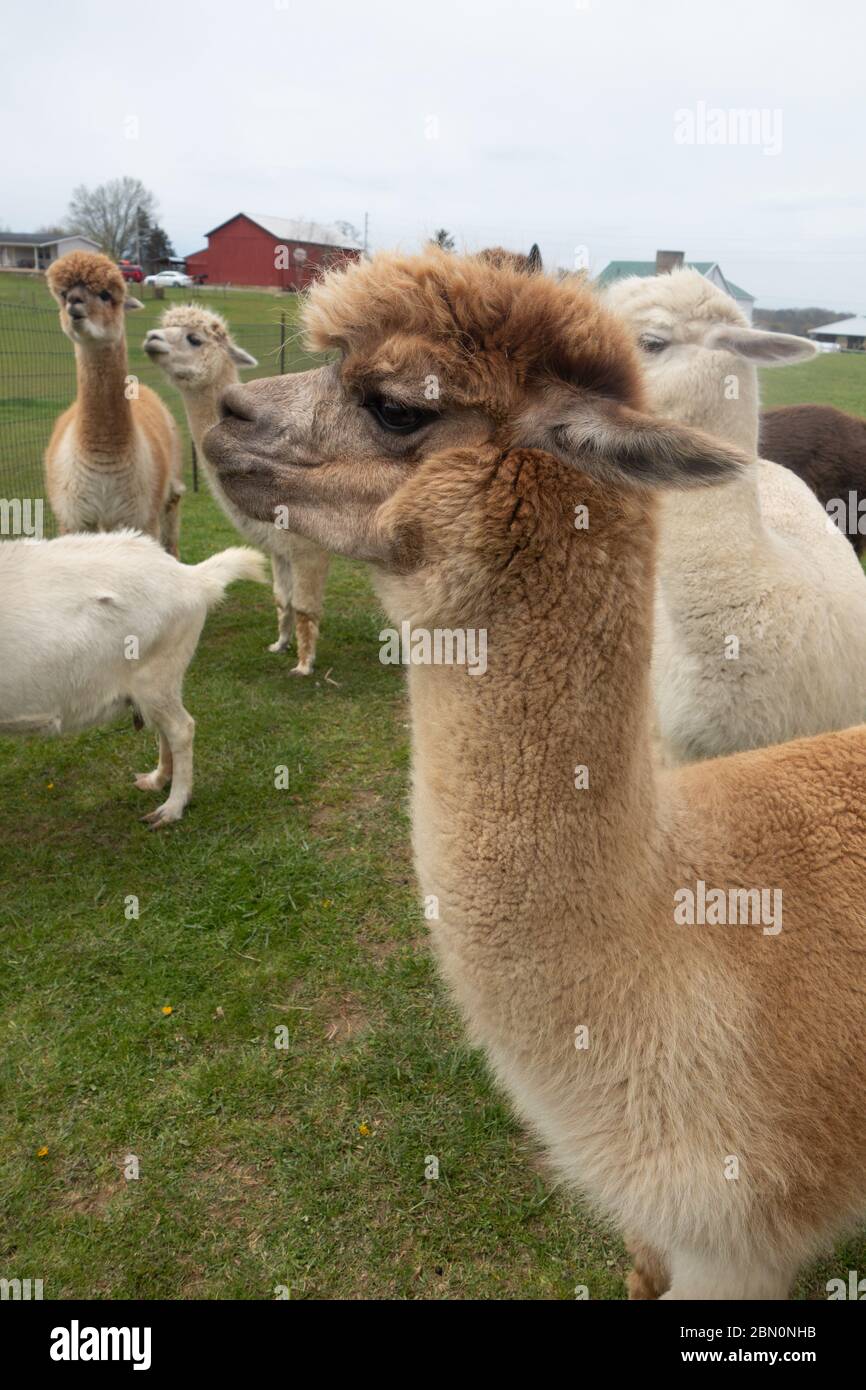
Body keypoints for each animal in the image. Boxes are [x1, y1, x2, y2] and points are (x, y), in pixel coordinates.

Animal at [0, 528, 265, 811]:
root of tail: (192, 577)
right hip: (165, 680)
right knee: (165, 726)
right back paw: (157, 780)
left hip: (155, 676)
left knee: (181, 729)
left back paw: (172, 807)